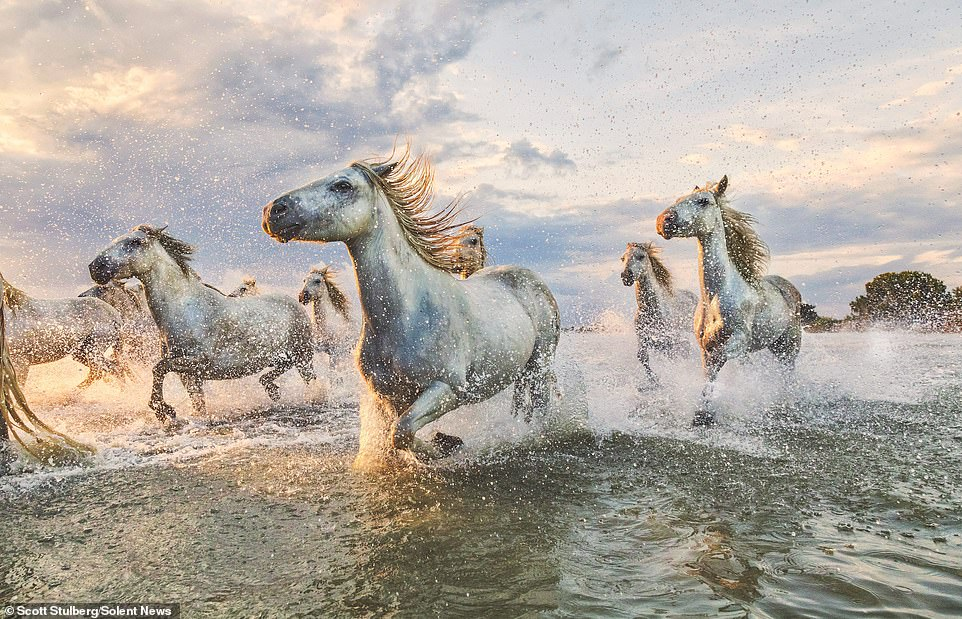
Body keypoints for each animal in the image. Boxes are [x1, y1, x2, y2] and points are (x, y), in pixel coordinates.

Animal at [89, 226, 316, 426]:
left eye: (135, 242)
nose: (95, 267)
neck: (185, 310)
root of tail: (295, 302)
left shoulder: (199, 362)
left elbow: (158, 368)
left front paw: (163, 410)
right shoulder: (189, 376)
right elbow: (197, 404)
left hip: (303, 356)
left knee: (310, 379)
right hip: (281, 357)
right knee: (278, 369)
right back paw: (272, 389)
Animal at [620, 241, 692, 382]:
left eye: (641, 256)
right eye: (622, 258)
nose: (626, 276)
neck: (651, 310)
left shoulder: (670, 338)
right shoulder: (642, 337)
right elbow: (642, 356)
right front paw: (653, 380)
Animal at [652, 177, 804, 424]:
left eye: (703, 201)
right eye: (679, 199)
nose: (663, 221)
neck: (715, 297)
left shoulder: (738, 341)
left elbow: (720, 363)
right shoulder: (705, 347)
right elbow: (709, 376)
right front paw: (702, 415)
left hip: (789, 345)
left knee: (788, 373)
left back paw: (787, 403)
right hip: (774, 345)